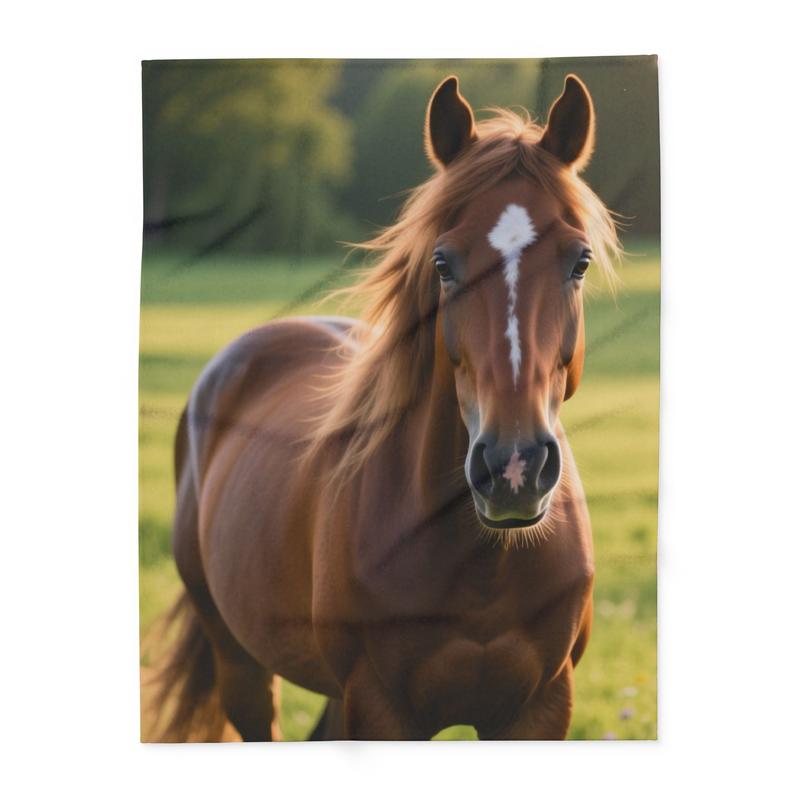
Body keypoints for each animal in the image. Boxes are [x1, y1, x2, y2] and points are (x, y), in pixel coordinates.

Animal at [151, 73, 620, 741]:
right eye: (443, 263)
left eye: (579, 261)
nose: (514, 467)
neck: (481, 566)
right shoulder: (379, 707)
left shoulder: (542, 708)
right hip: (241, 662)